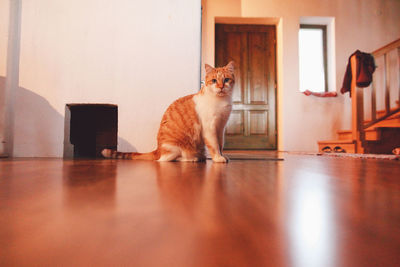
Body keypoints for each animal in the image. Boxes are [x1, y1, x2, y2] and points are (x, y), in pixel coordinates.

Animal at [101, 61, 236, 163]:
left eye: (226, 80)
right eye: (214, 81)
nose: (221, 87)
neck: (220, 102)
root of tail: (158, 149)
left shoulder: (221, 127)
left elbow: (220, 144)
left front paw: (223, 156)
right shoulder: (209, 128)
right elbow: (214, 145)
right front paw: (218, 158)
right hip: (176, 147)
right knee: (168, 159)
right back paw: (193, 158)